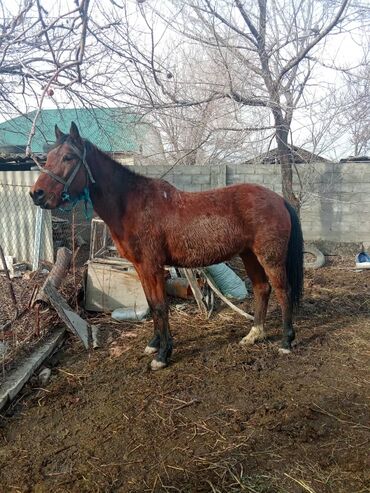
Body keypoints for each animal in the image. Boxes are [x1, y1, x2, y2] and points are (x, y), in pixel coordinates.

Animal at [29, 122, 304, 368]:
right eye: (48, 157)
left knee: (283, 291)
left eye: (68, 157)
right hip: (249, 255)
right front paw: (154, 344)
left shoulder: (152, 266)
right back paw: (254, 334)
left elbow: (161, 307)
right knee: (262, 289)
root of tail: (278, 199)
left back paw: (286, 342)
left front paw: (163, 355)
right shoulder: (141, 267)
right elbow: (152, 304)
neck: (132, 204)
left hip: (270, 258)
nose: (36, 194)